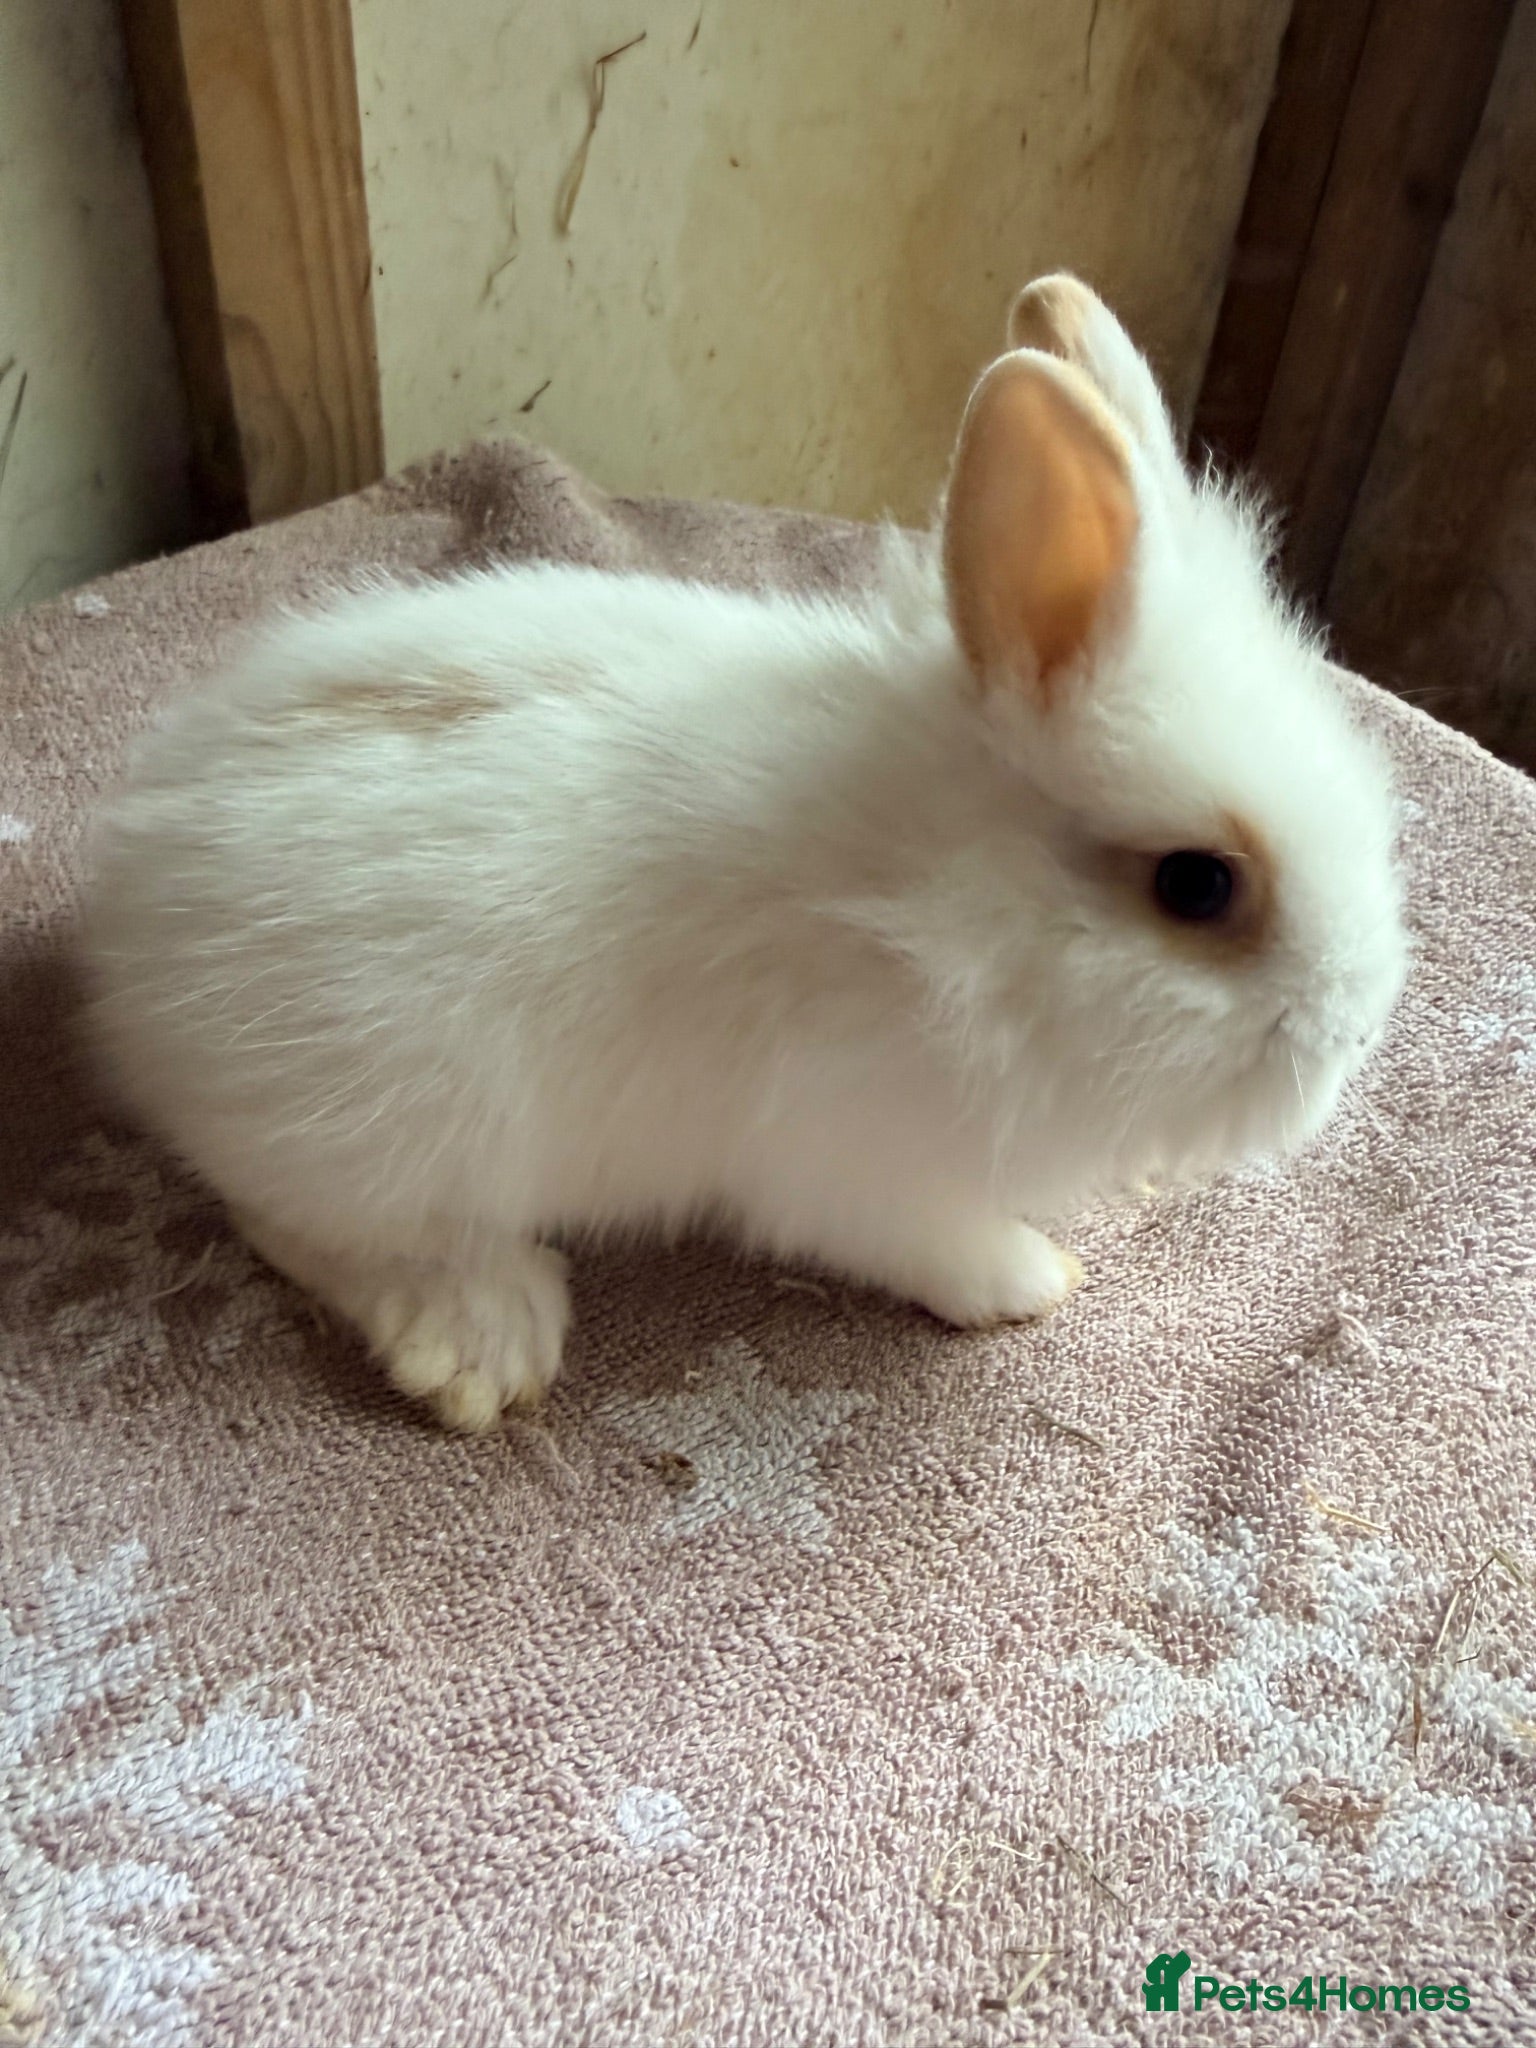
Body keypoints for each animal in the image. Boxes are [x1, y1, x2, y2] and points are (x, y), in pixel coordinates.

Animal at [84, 275, 1408, 1431]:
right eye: (1198, 884)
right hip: (392, 1129)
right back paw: (484, 1341)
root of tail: (127, 923)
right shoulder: (857, 1159)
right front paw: (1033, 1280)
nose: (1356, 1032)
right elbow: (938, 1244)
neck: (943, 905)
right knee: (304, 1223)